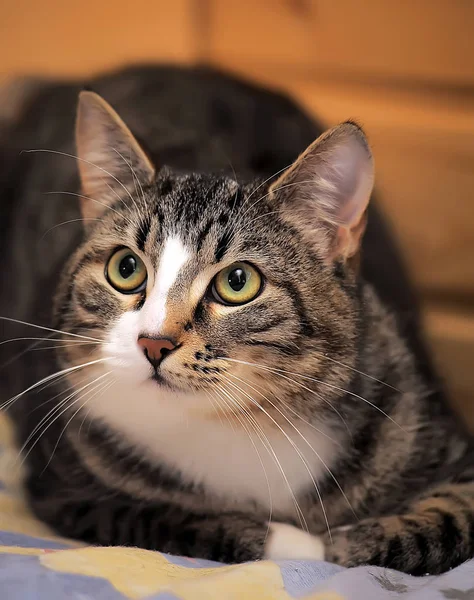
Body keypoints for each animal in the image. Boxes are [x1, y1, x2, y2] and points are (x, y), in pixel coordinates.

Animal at [0, 63, 474, 576]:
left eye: (238, 282)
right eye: (125, 269)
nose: (153, 342)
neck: (245, 424)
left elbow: (450, 517)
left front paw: (346, 543)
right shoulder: (70, 489)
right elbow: (173, 517)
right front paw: (300, 544)